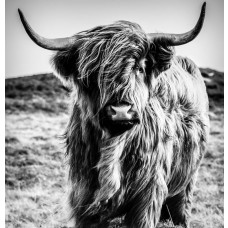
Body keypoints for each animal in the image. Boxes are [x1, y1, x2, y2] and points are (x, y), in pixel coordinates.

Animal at [18, 3, 209, 228]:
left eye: (140, 68)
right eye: (91, 74)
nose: (120, 111)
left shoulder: (148, 196)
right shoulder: (82, 199)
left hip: (186, 184)